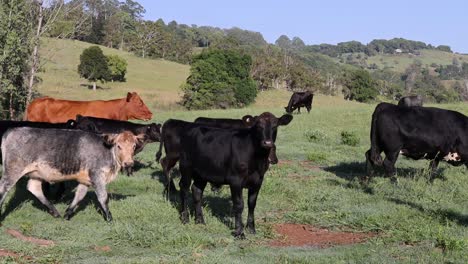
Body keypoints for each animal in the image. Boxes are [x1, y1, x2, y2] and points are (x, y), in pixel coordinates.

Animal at [0, 127, 143, 222]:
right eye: (118, 146)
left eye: (134, 146)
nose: (129, 163)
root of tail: (12, 131)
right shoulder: (97, 175)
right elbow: (103, 197)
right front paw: (109, 218)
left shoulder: (85, 180)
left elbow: (79, 196)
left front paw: (67, 214)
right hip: (13, 170)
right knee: (3, 189)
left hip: (36, 173)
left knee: (33, 188)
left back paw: (55, 212)